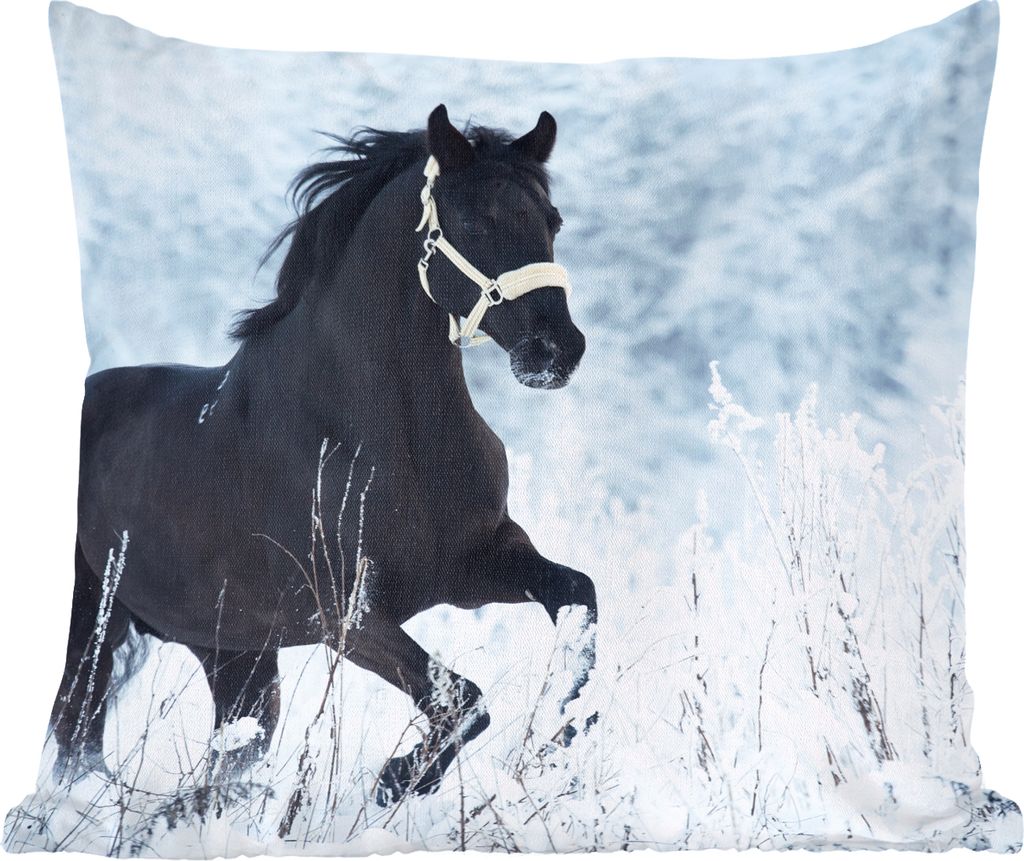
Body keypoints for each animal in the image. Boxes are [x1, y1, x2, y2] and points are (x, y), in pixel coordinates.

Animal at [50, 104, 597, 806]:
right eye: (474, 221)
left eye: (551, 220)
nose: (556, 351)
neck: (392, 442)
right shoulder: (347, 615)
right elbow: (462, 698)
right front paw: (396, 781)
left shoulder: (481, 565)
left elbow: (579, 601)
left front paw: (558, 737)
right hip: (91, 627)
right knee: (78, 741)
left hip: (237, 657)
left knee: (224, 756)